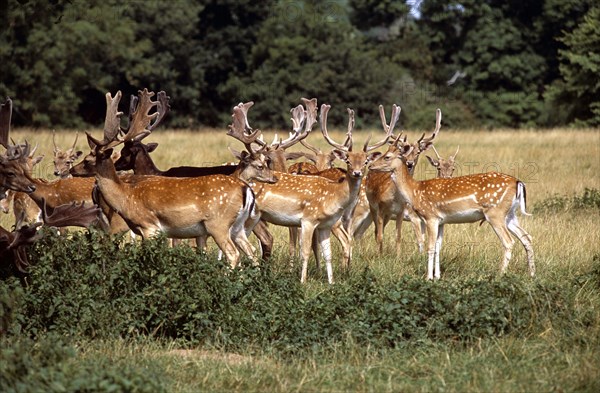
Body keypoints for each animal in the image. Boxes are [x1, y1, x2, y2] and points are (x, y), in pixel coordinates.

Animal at [370, 133, 536, 280]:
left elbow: (430, 247)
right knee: (526, 237)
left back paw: (500, 275)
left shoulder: (430, 217)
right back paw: (532, 275)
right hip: (510, 214)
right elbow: (438, 246)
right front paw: (437, 276)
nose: (371, 165)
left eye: (387, 156)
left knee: (509, 241)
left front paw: (428, 277)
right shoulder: (441, 221)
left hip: (495, 213)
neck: (415, 191)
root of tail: (518, 183)